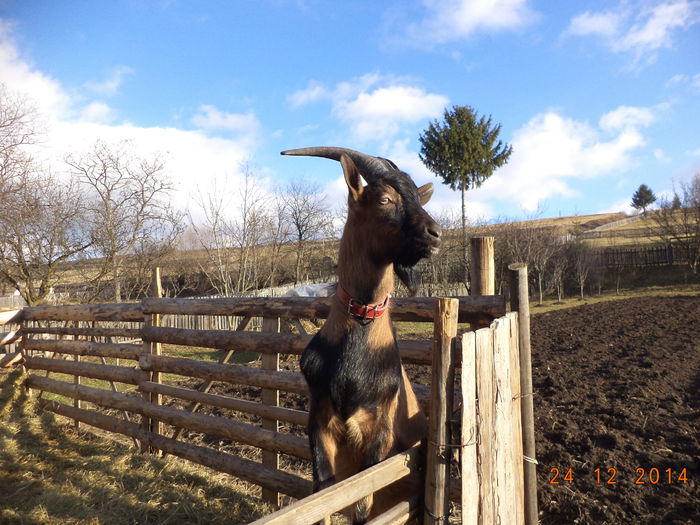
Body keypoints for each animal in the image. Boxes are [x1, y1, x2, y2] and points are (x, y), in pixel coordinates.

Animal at [280, 146, 440, 520]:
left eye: (418, 198)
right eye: (384, 198)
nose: (435, 233)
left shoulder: (378, 430)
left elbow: (363, 504)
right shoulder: (319, 420)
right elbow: (322, 495)